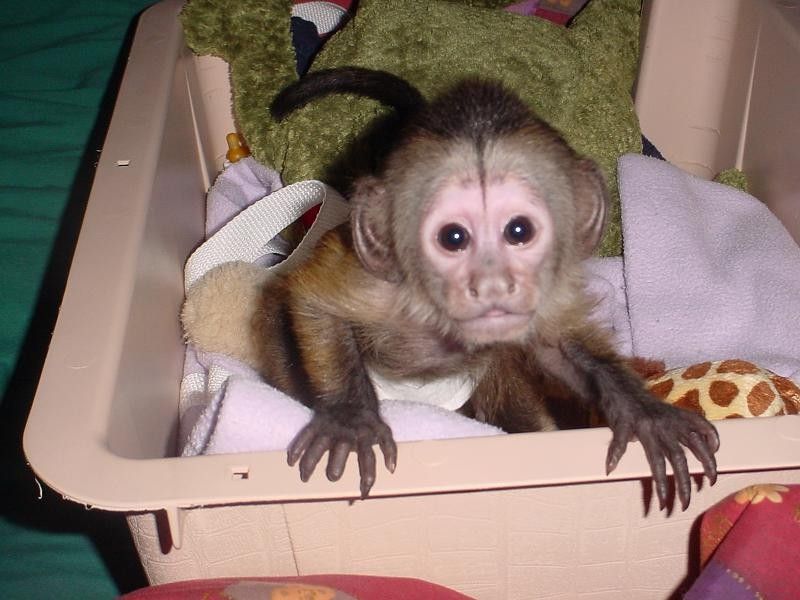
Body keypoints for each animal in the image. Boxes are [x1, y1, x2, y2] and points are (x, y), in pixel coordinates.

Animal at [255, 67, 719, 509]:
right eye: (453, 238)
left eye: (519, 230)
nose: (493, 284)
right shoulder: (376, 284)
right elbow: (312, 303)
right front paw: (351, 418)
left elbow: (561, 350)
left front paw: (644, 412)